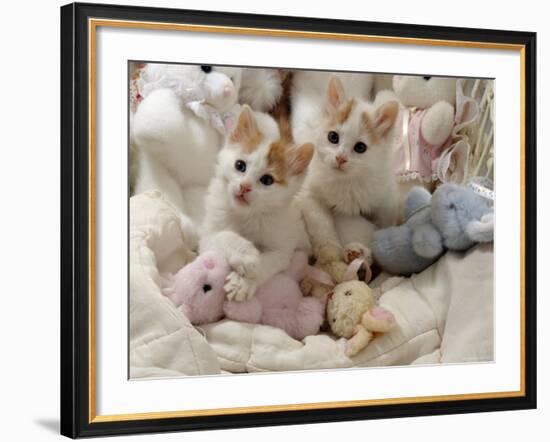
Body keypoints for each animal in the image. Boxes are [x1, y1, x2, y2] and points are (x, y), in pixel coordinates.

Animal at [203, 105, 314, 302]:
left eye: (267, 180)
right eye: (240, 165)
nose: (245, 186)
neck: (248, 214)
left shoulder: (283, 245)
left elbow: (270, 261)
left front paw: (243, 282)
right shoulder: (206, 236)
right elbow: (223, 235)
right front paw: (246, 255)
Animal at [298, 76, 402, 262]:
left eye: (360, 147)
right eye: (333, 137)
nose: (340, 158)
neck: (347, 181)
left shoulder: (386, 196)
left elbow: (385, 223)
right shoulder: (309, 193)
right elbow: (322, 225)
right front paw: (330, 251)